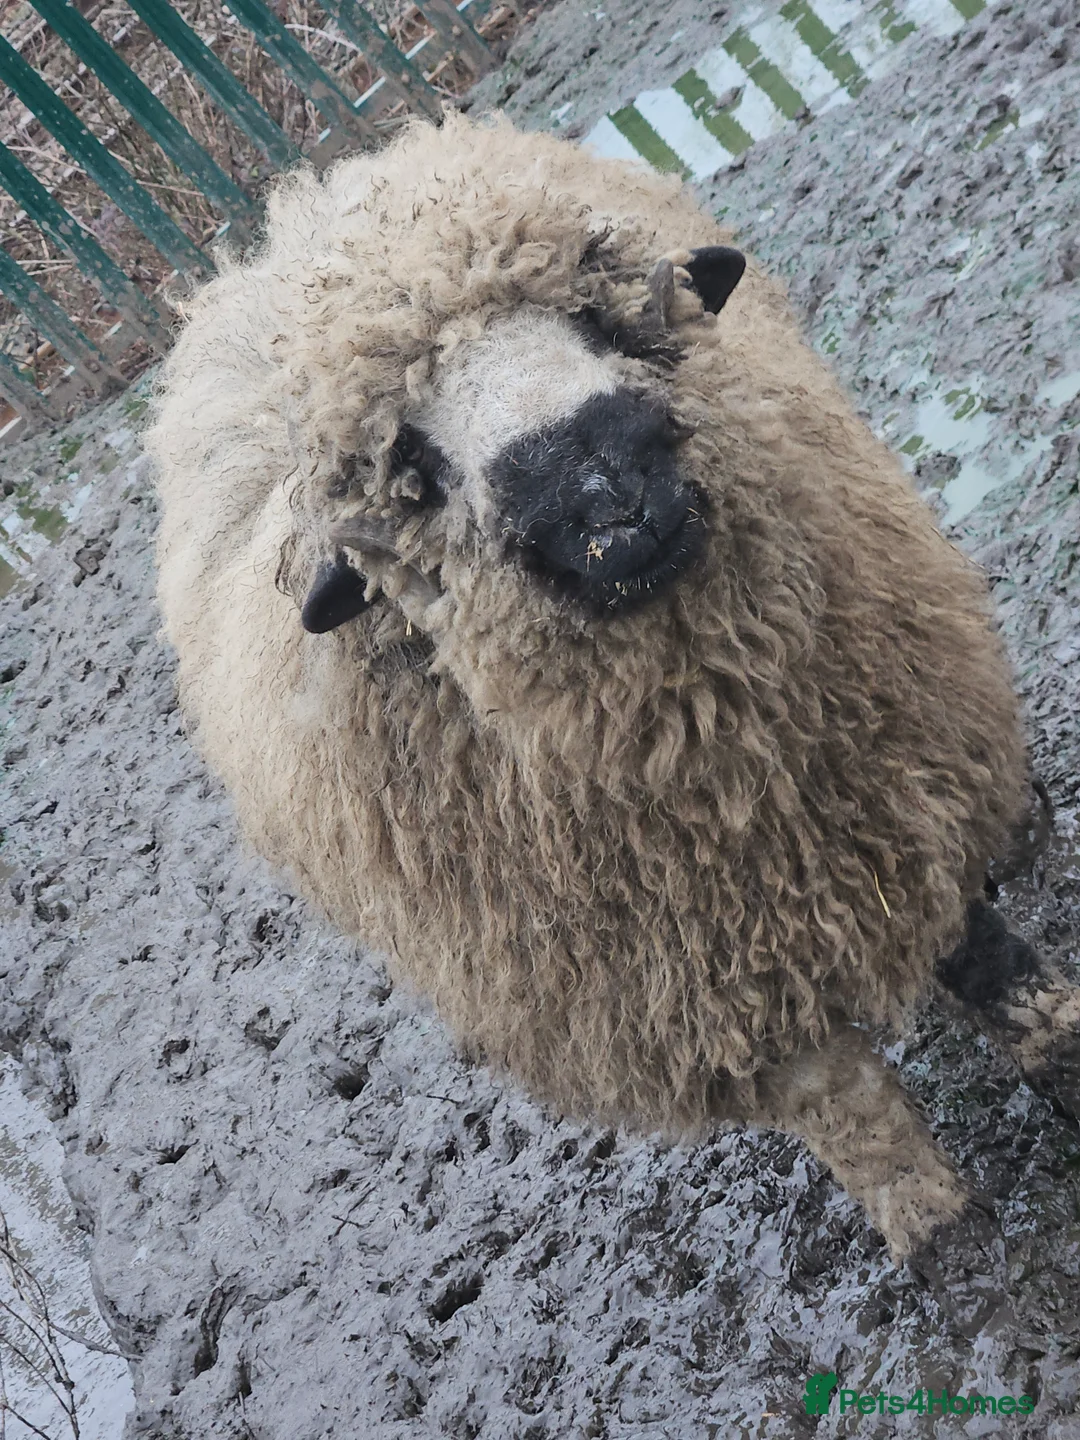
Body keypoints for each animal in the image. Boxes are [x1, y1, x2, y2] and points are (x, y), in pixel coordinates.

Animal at [147, 110, 1033, 1260]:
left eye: (597, 321)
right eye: (412, 466)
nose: (602, 473)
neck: (733, 783)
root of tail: (294, 225)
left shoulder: (908, 798)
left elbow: (1000, 974)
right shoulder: (697, 1004)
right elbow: (870, 1139)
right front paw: (953, 1247)